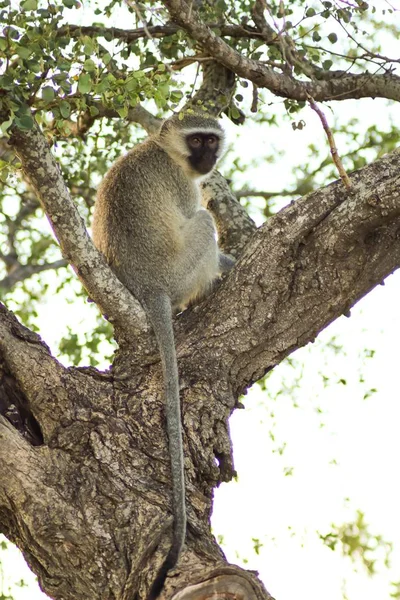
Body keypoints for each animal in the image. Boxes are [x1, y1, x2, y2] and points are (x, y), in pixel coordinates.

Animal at [91, 112, 234, 600]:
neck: (162, 150)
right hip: (179, 272)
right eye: (198, 141)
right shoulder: (183, 185)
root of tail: (150, 289)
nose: (210, 157)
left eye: (212, 139)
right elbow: (197, 212)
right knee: (205, 222)